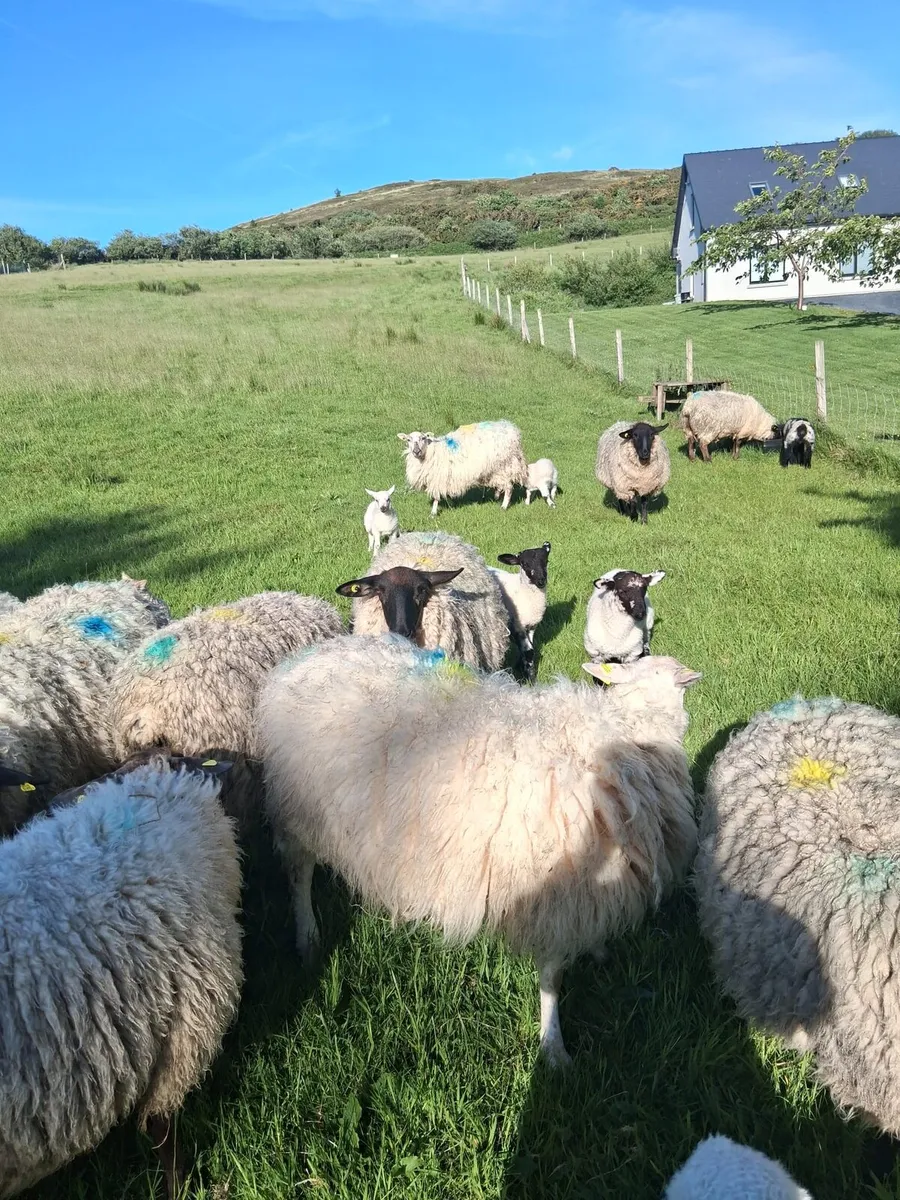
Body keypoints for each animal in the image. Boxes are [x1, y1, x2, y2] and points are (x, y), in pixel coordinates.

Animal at [259, 638, 700, 1066]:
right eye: (677, 682)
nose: (695, 678)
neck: (626, 733)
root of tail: (304, 660)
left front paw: (597, 951)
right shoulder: (556, 893)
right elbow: (552, 978)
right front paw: (553, 1046)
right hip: (298, 810)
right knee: (299, 874)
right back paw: (308, 938)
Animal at [398, 419, 528, 516]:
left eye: (423, 438)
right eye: (408, 440)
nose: (416, 451)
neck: (431, 451)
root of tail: (511, 429)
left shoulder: (438, 478)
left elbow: (436, 497)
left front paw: (433, 513)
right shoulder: (445, 478)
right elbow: (445, 494)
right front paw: (451, 504)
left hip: (503, 466)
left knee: (509, 487)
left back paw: (504, 506)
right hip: (495, 471)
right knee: (502, 486)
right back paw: (497, 497)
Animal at [488, 541, 551, 682]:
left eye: (546, 561)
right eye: (524, 564)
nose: (541, 581)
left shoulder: (531, 626)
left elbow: (528, 648)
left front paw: (520, 668)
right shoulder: (517, 626)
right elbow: (529, 651)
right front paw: (530, 679)